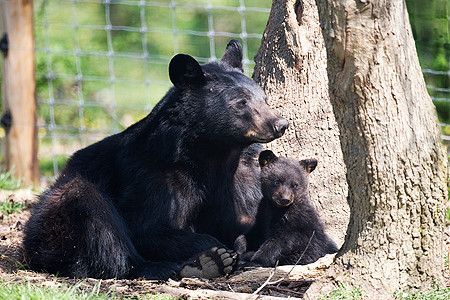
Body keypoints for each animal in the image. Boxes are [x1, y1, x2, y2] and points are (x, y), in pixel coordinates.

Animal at [22, 41, 286, 280]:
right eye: (241, 102)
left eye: (264, 99)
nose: (280, 123)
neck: (212, 153)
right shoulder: (155, 175)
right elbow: (147, 227)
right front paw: (216, 251)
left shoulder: (243, 175)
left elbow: (249, 220)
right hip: (54, 221)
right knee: (92, 213)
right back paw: (191, 264)